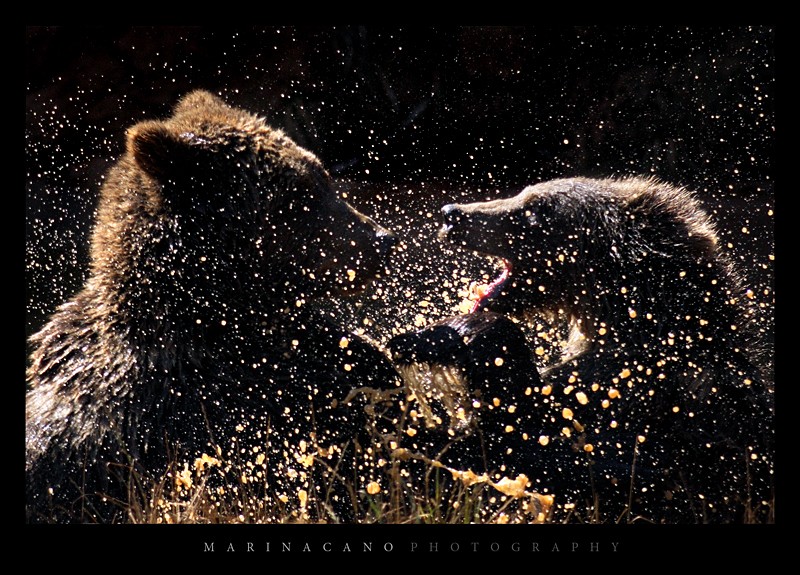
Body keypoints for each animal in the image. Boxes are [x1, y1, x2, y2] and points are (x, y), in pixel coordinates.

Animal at [394, 176, 774, 523]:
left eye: (535, 209)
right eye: (524, 193)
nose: (451, 214)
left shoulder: (641, 394)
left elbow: (530, 430)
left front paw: (433, 336)